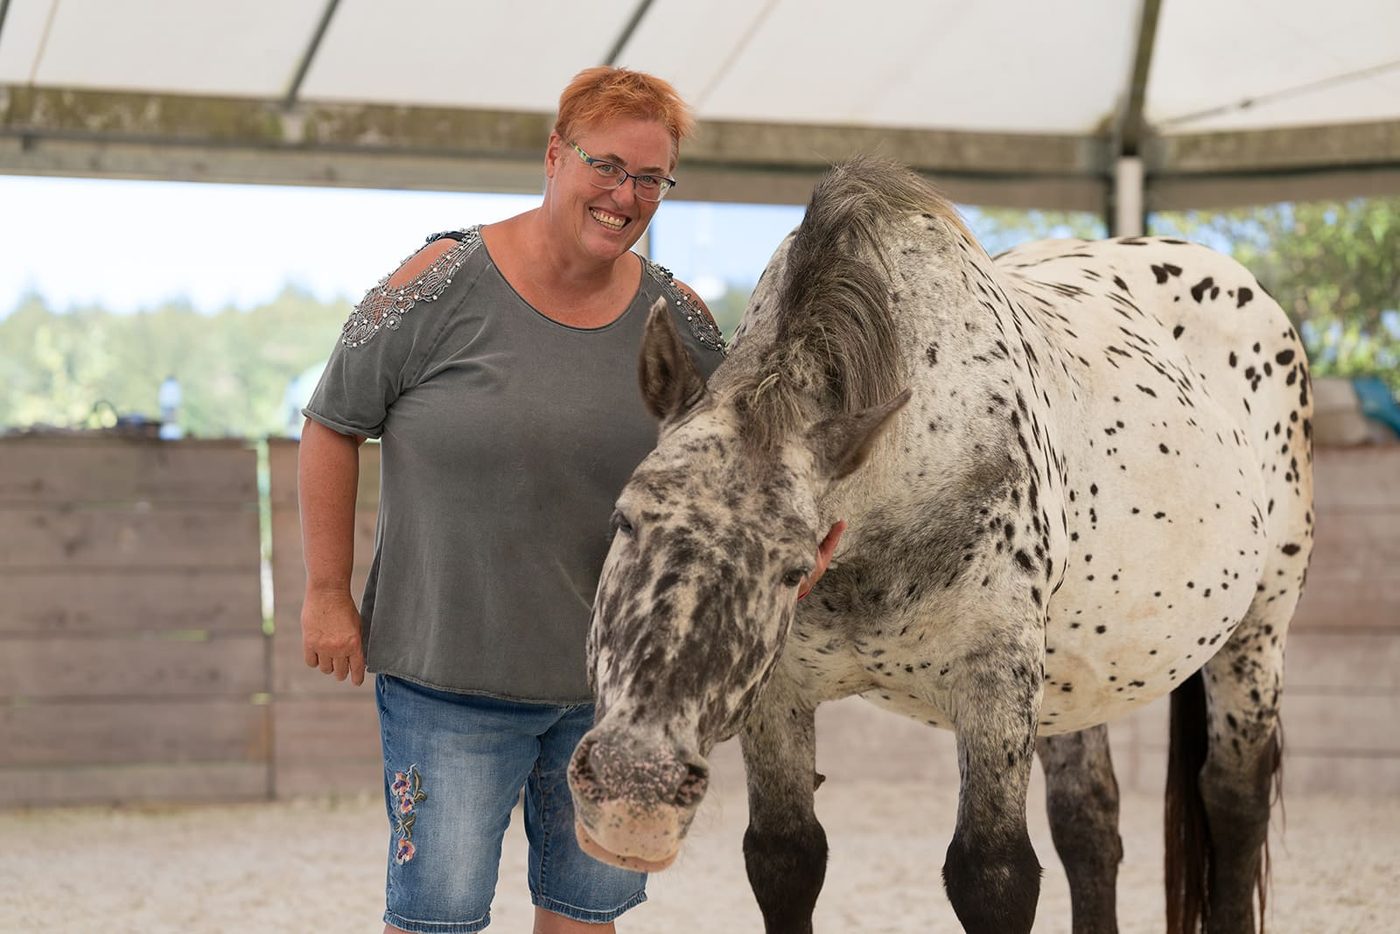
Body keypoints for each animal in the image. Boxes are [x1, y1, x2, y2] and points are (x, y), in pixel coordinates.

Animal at [567, 157, 1313, 933]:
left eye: (793, 569)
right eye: (625, 520)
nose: (634, 792)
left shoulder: (995, 684)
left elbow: (993, 875)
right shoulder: (777, 695)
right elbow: (784, 858)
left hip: (1258, 630)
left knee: (1233, 801)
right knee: (1088, 823)